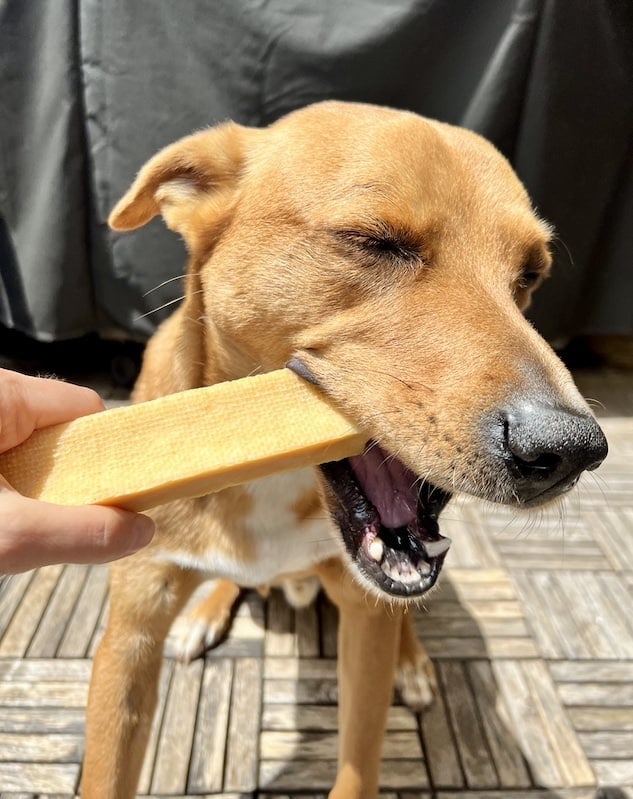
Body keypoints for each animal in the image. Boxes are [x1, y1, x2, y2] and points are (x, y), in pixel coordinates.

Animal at [81, 101, 604, 799]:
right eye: (375, 242)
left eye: (530, 275)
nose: (570, 449)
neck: (269, 475)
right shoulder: (130, 631)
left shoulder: (366, 617)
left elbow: (359, 756)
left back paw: (413, 662)